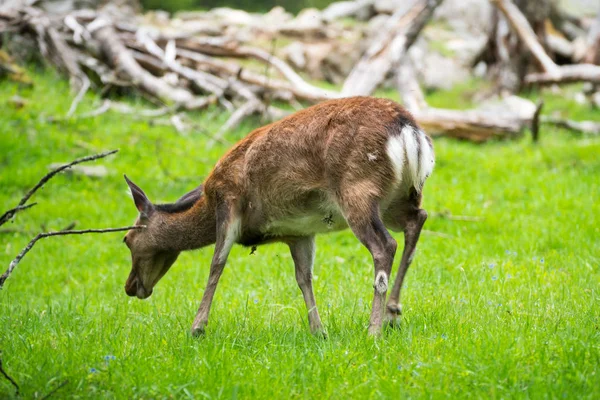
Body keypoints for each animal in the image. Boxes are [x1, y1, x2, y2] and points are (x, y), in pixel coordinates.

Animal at [122, 97, 434, 338]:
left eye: (126, 238)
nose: (130, 286)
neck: (207, 203)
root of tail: (409, 130)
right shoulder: (299, 233)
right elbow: (304, 277)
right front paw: (318, 331)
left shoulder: (229, 202)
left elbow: (216, 264)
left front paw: (197, 327)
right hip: (400, 198)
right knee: (417, 220)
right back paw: (393, 314)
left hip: (358, 190)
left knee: (385, 245)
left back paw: (374, 329)